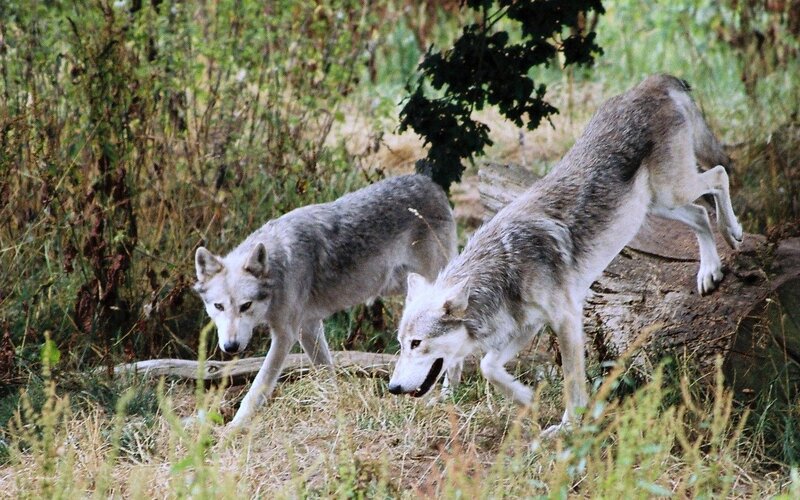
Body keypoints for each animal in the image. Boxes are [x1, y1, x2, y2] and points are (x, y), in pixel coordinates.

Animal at [194, 174, 457, 429]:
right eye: (219, 307)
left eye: (246, 306)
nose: (231, 347)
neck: (279, 267)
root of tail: (430, 184)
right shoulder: (308, 328)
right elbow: (326, 371)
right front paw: (335, 405)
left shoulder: (285, 336)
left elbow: (258, 386)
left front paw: (235, 426)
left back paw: (448, 396)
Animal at [387, 74, 743, 437]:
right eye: (400, 344)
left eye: (416, 343)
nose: (393, 389)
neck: (505, 267)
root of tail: (648, 83)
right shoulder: (527, 326)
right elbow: (488, 366)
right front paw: (526, 398)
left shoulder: (566, 320)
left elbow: (572, 384)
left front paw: (569, 427)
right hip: (659, 205)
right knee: (701, 213)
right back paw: (709, 270)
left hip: (673, 191)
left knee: (719, 175)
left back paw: (732, 231)